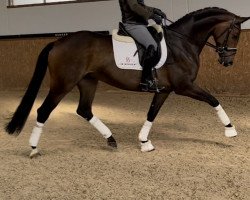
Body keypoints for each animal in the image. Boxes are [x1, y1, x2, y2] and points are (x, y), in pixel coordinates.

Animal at [4, 7, 249, 158]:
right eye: (236, 33)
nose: (227, 62)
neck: (182, 43)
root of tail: (58, 42)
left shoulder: (164, 90)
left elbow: (152, 113)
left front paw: (144, 142)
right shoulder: (184, 86)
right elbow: (213, 100)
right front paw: (230, 130)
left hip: (88, 82)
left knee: (84, 110)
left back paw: (111, 139)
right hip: (63, 84)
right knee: (43, 111)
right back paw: (34, 148)